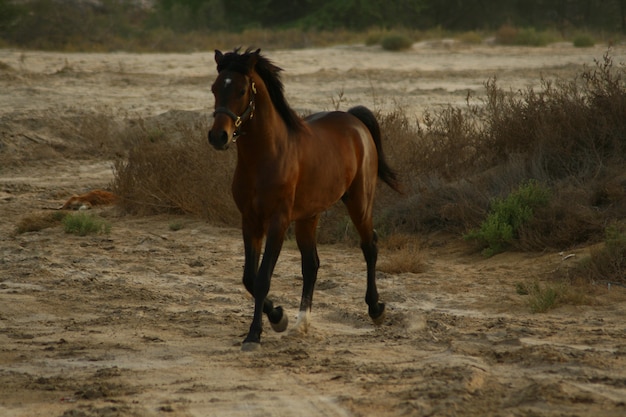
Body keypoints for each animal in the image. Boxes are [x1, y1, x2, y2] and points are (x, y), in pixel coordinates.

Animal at [207, 47, 398, 350]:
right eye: (214, 88)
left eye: (240, 90)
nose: (218, 136)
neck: (267, 156)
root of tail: (354, 121)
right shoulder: (250, 221)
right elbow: (249, 278)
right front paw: (279, 317)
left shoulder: (278, 221)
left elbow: (262, 278)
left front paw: (255, 334)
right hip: (309, 216)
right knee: (312, 264)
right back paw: (302, 322)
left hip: (359, 203)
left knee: (370, 246)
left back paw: (376, 310)